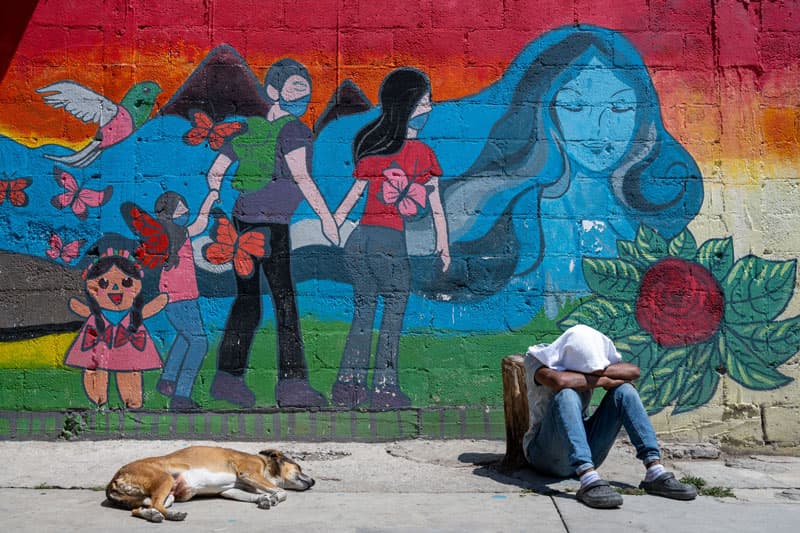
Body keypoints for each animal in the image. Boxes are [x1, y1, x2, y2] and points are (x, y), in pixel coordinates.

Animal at [108, 444, 314, 520]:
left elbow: (255, 494)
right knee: (156, 505)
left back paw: (151, 515)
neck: (264, 463)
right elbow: (281, 491)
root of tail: (114, 479)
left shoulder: (230, 490)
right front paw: (275, 496)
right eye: (299, 468)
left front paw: (264, 499)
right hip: (165, 479)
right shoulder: (249, 472)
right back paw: (173, 515)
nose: (313, 481)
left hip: (169, 495)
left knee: (141, 508)